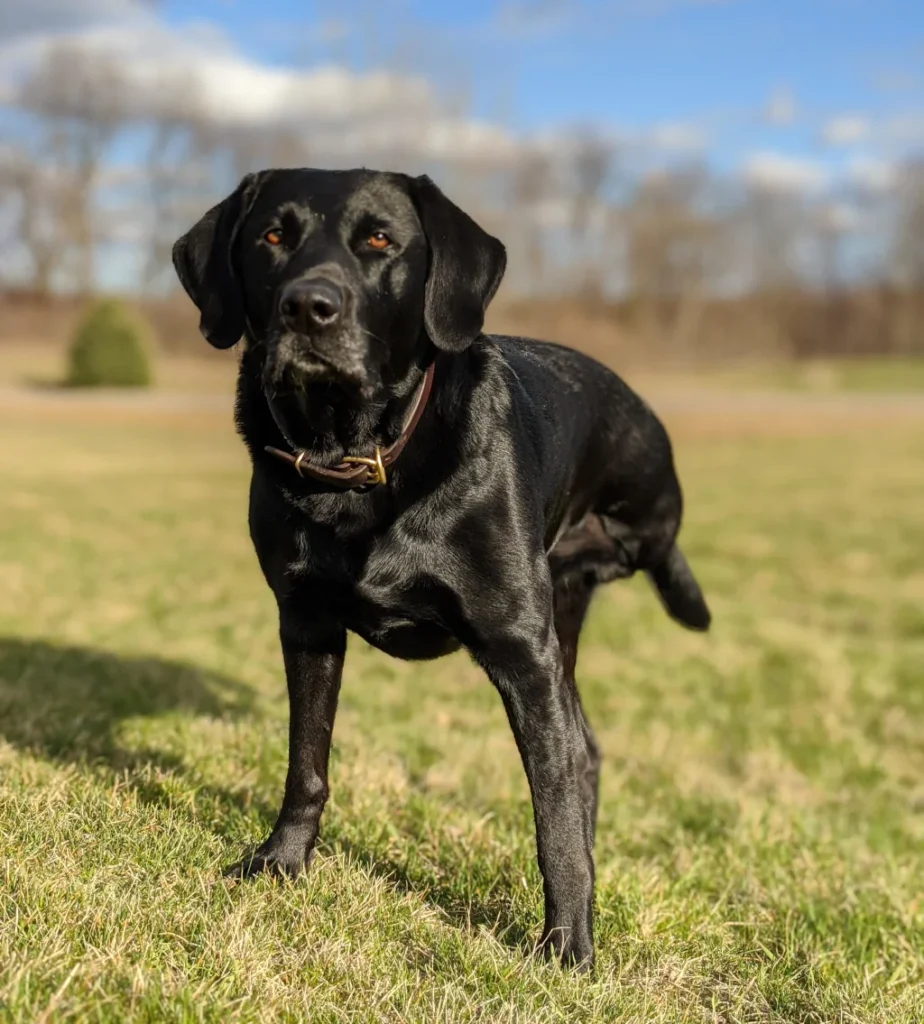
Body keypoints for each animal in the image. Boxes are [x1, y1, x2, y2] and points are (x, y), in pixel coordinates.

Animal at [174, 167, 708, 966]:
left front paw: (568, 948)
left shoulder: (521, 652)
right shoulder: (305, 624)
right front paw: (281, 862)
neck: (358, 463)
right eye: (272, 235)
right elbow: (307, 765)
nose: (308, 306)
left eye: (379, 240)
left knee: (578, 749)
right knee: (584, 748)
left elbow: (552, 817)